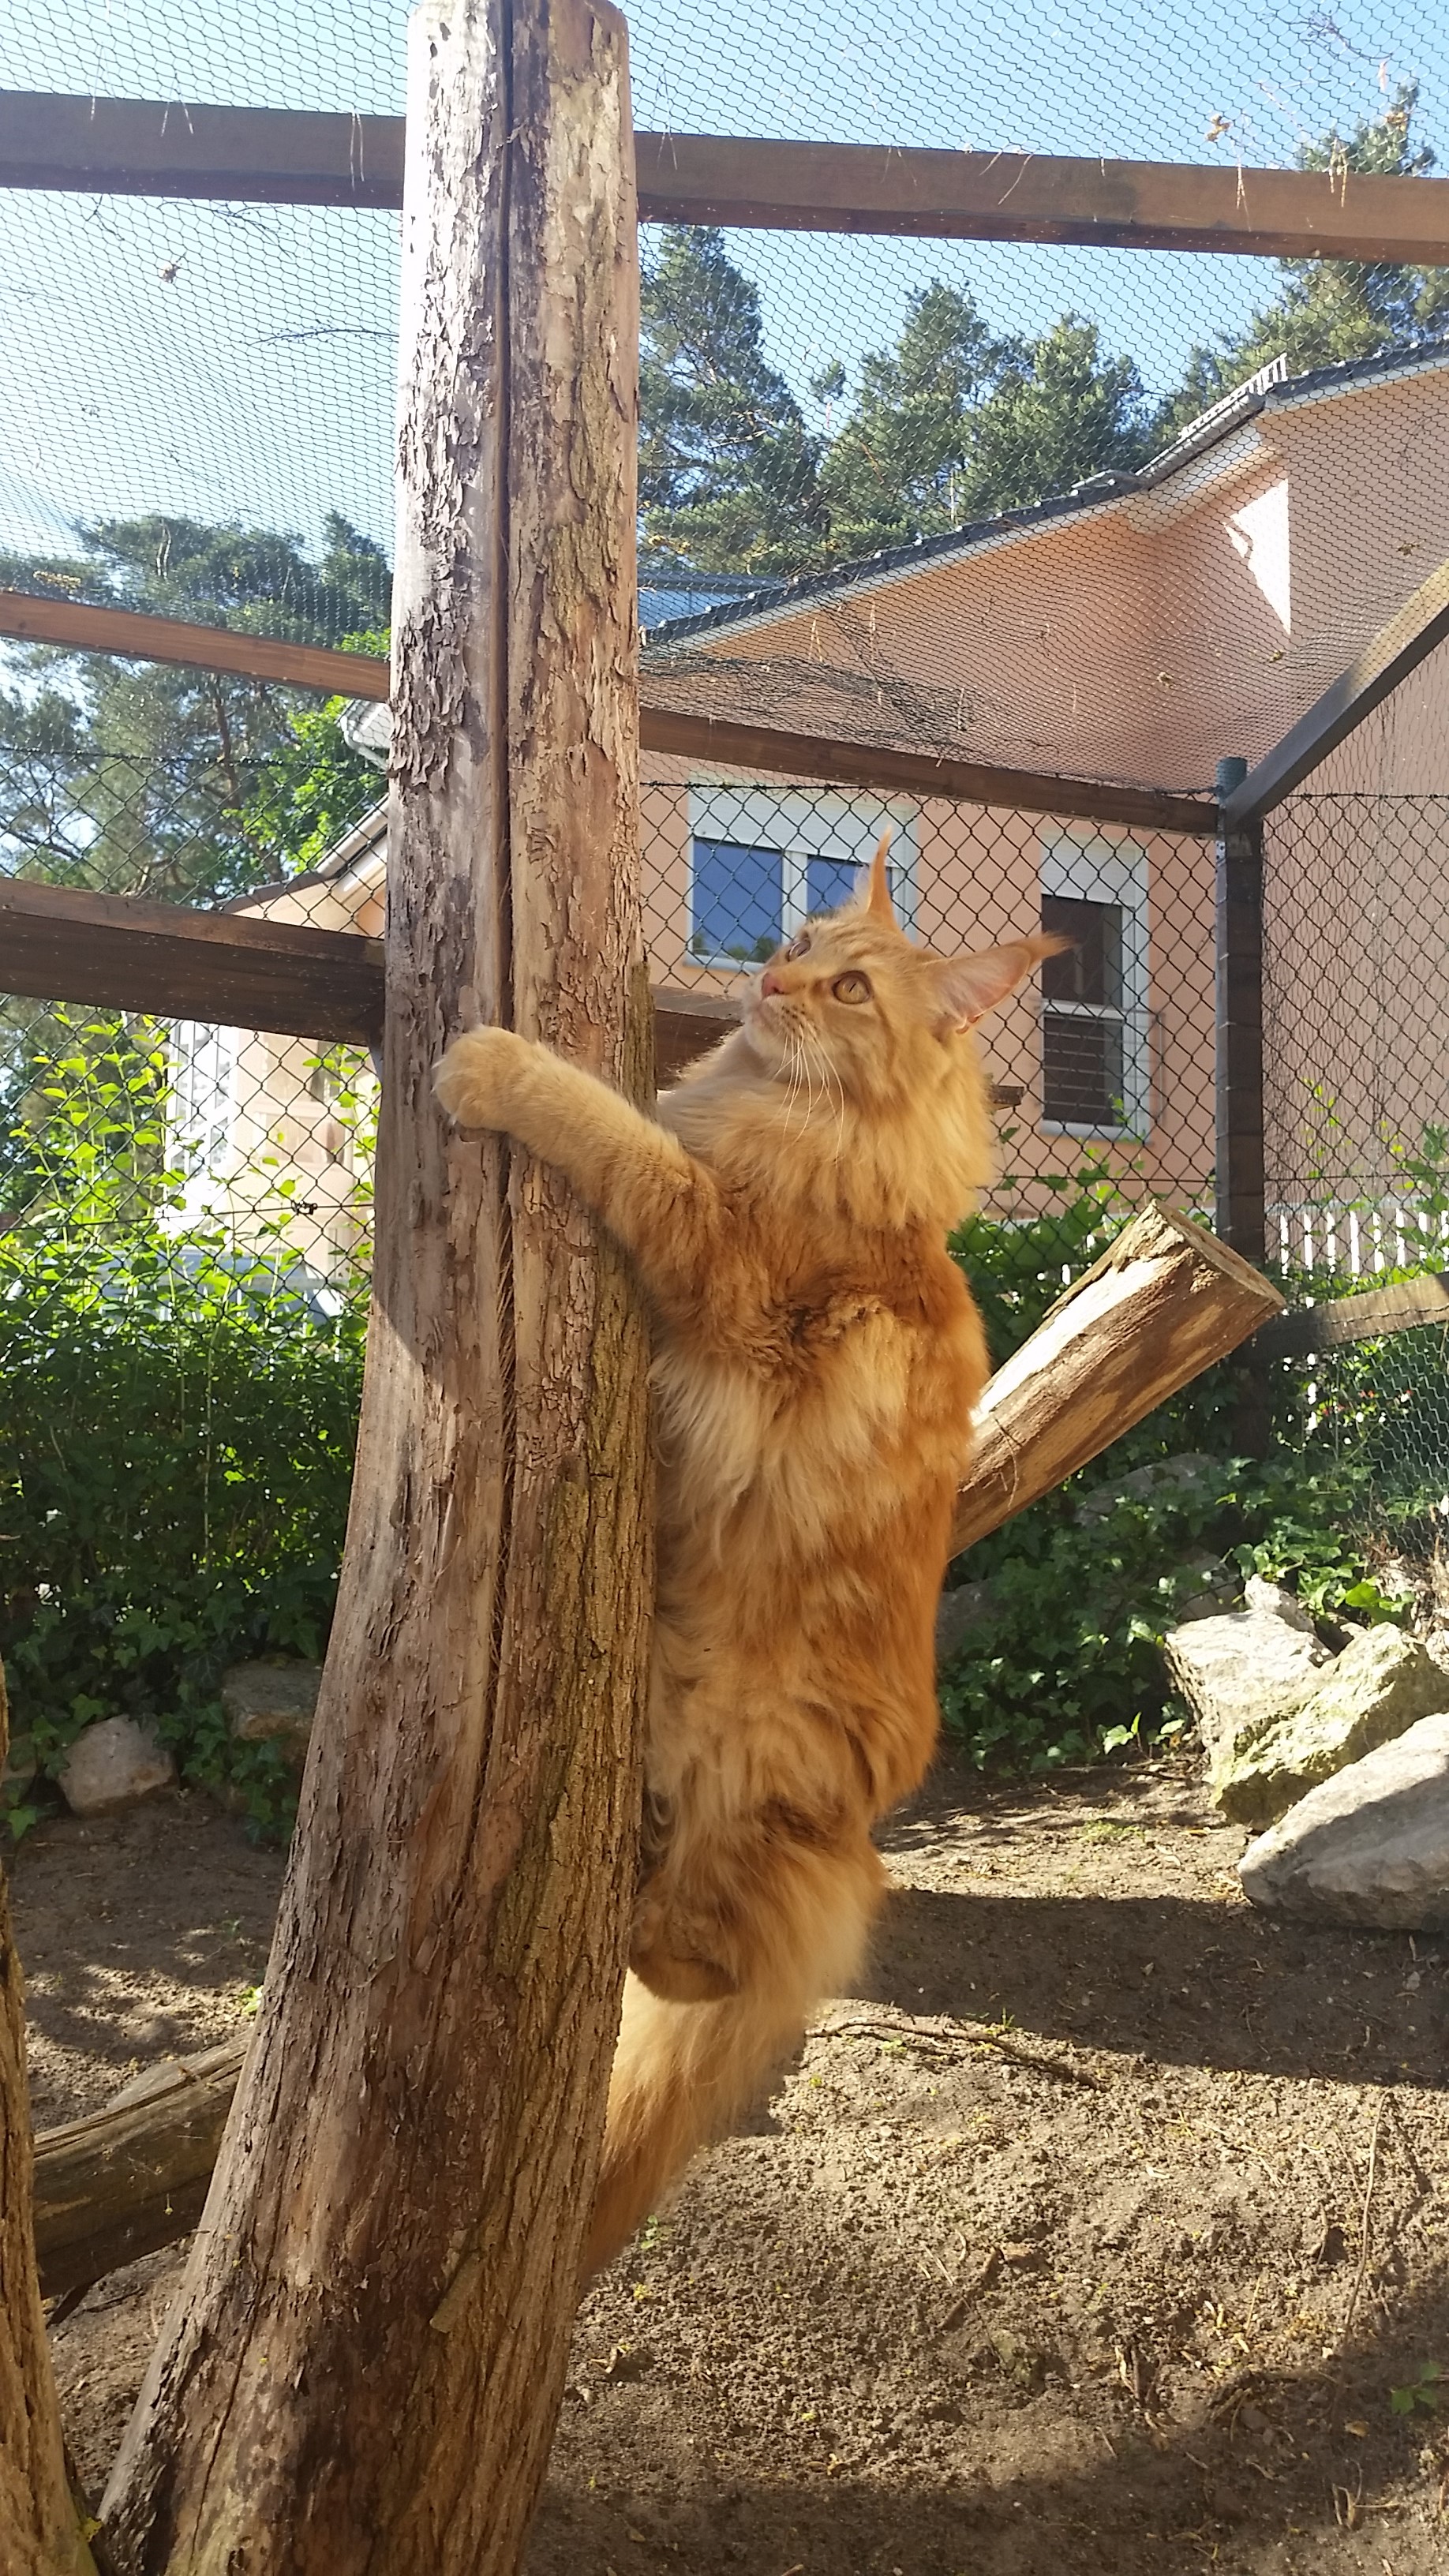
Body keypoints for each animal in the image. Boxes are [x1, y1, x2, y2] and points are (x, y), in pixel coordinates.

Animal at [434, 835, 1064, 2274]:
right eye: (802, 936)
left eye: (850, 987)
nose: (772, 978)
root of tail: (856, 1822)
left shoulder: (714, 1250)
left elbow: (611, 1129)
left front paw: (492, 1065)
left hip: (763, 1778)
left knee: (741, 1962)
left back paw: (651, 1929)